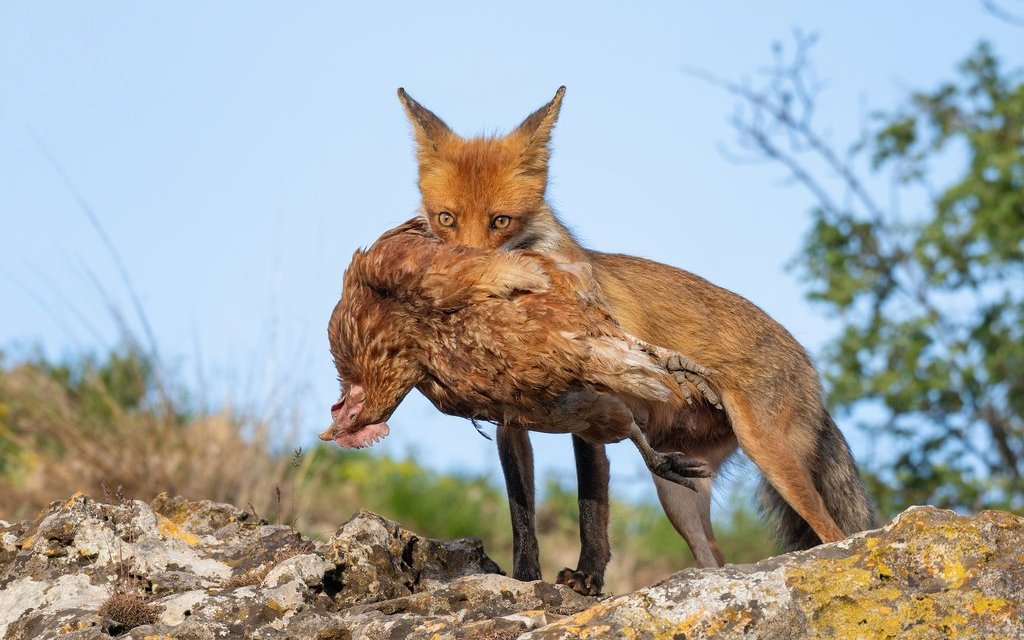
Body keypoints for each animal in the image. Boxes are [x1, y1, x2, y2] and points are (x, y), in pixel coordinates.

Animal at [395, 86, 876, 593]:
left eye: (501, 221)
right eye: (446, 218)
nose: (466, 275)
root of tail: (811, 369)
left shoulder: (592, 409)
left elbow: (590, 503)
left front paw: (587, 577)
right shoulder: (511, 423)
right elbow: (521, 512)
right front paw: (526, 580)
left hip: (769, 455)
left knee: (834, 534)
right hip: (679, 492)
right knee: (715, 561)